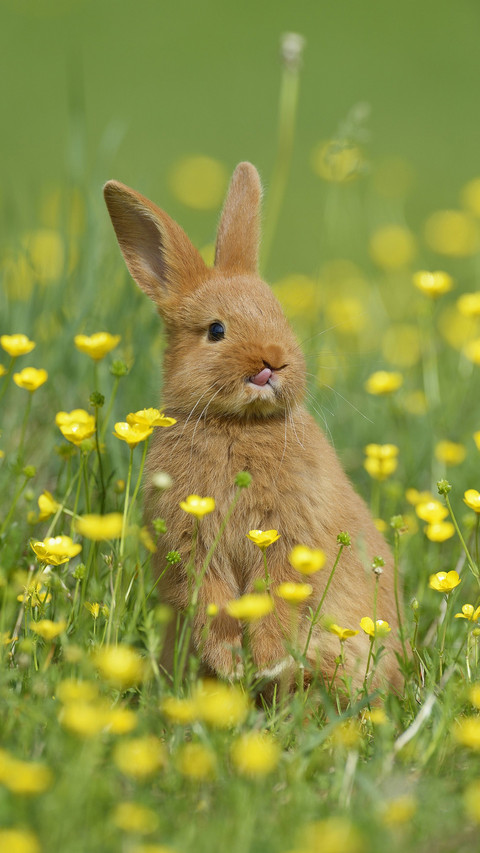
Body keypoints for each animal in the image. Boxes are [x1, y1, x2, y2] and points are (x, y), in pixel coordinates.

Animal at [103, 162, 402, 693]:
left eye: (280, 316)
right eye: (216, 330)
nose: (272, 361)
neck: (237, 425)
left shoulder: (291, 538)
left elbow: (277, 598)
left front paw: (262, 661)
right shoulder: (194, 547)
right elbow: (212, 600)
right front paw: (231, 663)